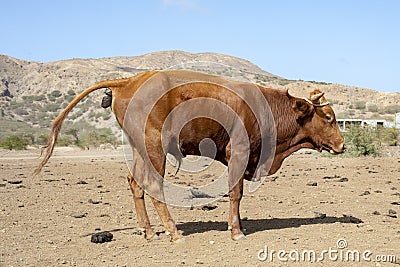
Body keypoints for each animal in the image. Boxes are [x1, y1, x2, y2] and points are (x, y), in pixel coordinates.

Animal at [34, 69, 346, 243]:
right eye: (329, 117)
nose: (343, 145)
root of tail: (130, 81)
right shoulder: (238, 152)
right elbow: (235, 193)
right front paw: (236, 231)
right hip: (154, 148)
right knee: (153, 186)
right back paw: (173, 233)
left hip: (139, 149)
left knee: (136, 184)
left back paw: (149, 231)